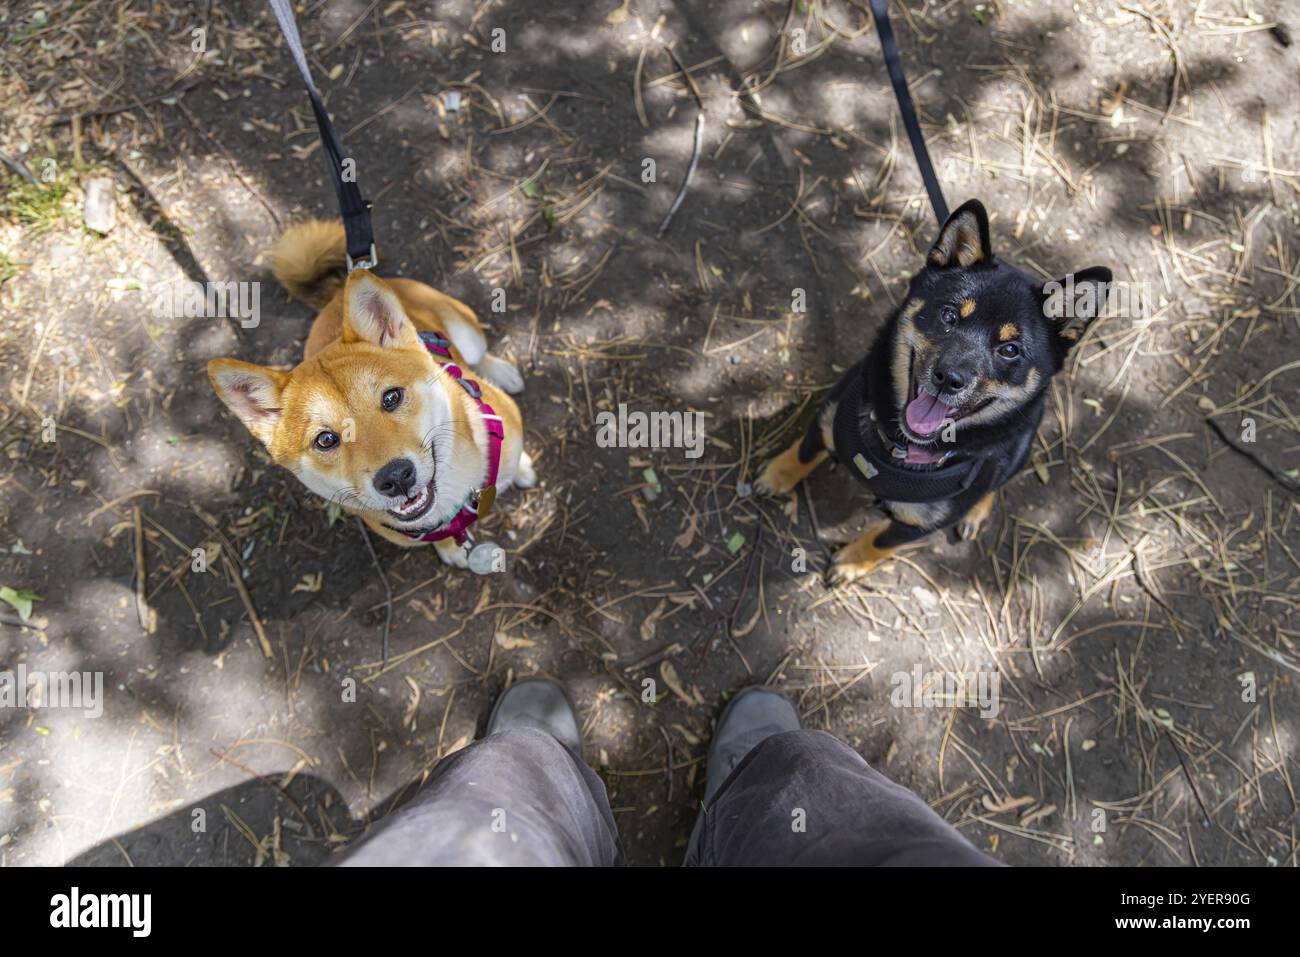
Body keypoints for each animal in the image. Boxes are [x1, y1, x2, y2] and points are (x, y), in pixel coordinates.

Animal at [210, 222, 535, 566]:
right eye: (326, 440)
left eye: (391, 398)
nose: (397, 477)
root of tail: (337, 292)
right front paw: (452, 549)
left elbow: (514, 459)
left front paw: (522, 467)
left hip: (467, 333)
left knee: (479, 354)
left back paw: (502, 372)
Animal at [759, 197, 1112, 579]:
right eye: (949, 315)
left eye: (1009, 350)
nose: (949, 378)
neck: (896, 449)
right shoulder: (828, 418)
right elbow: (802, 454)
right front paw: (776, 476)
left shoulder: (917, 525)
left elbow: (879, 542)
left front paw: (851, 563)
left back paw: (977, 511)